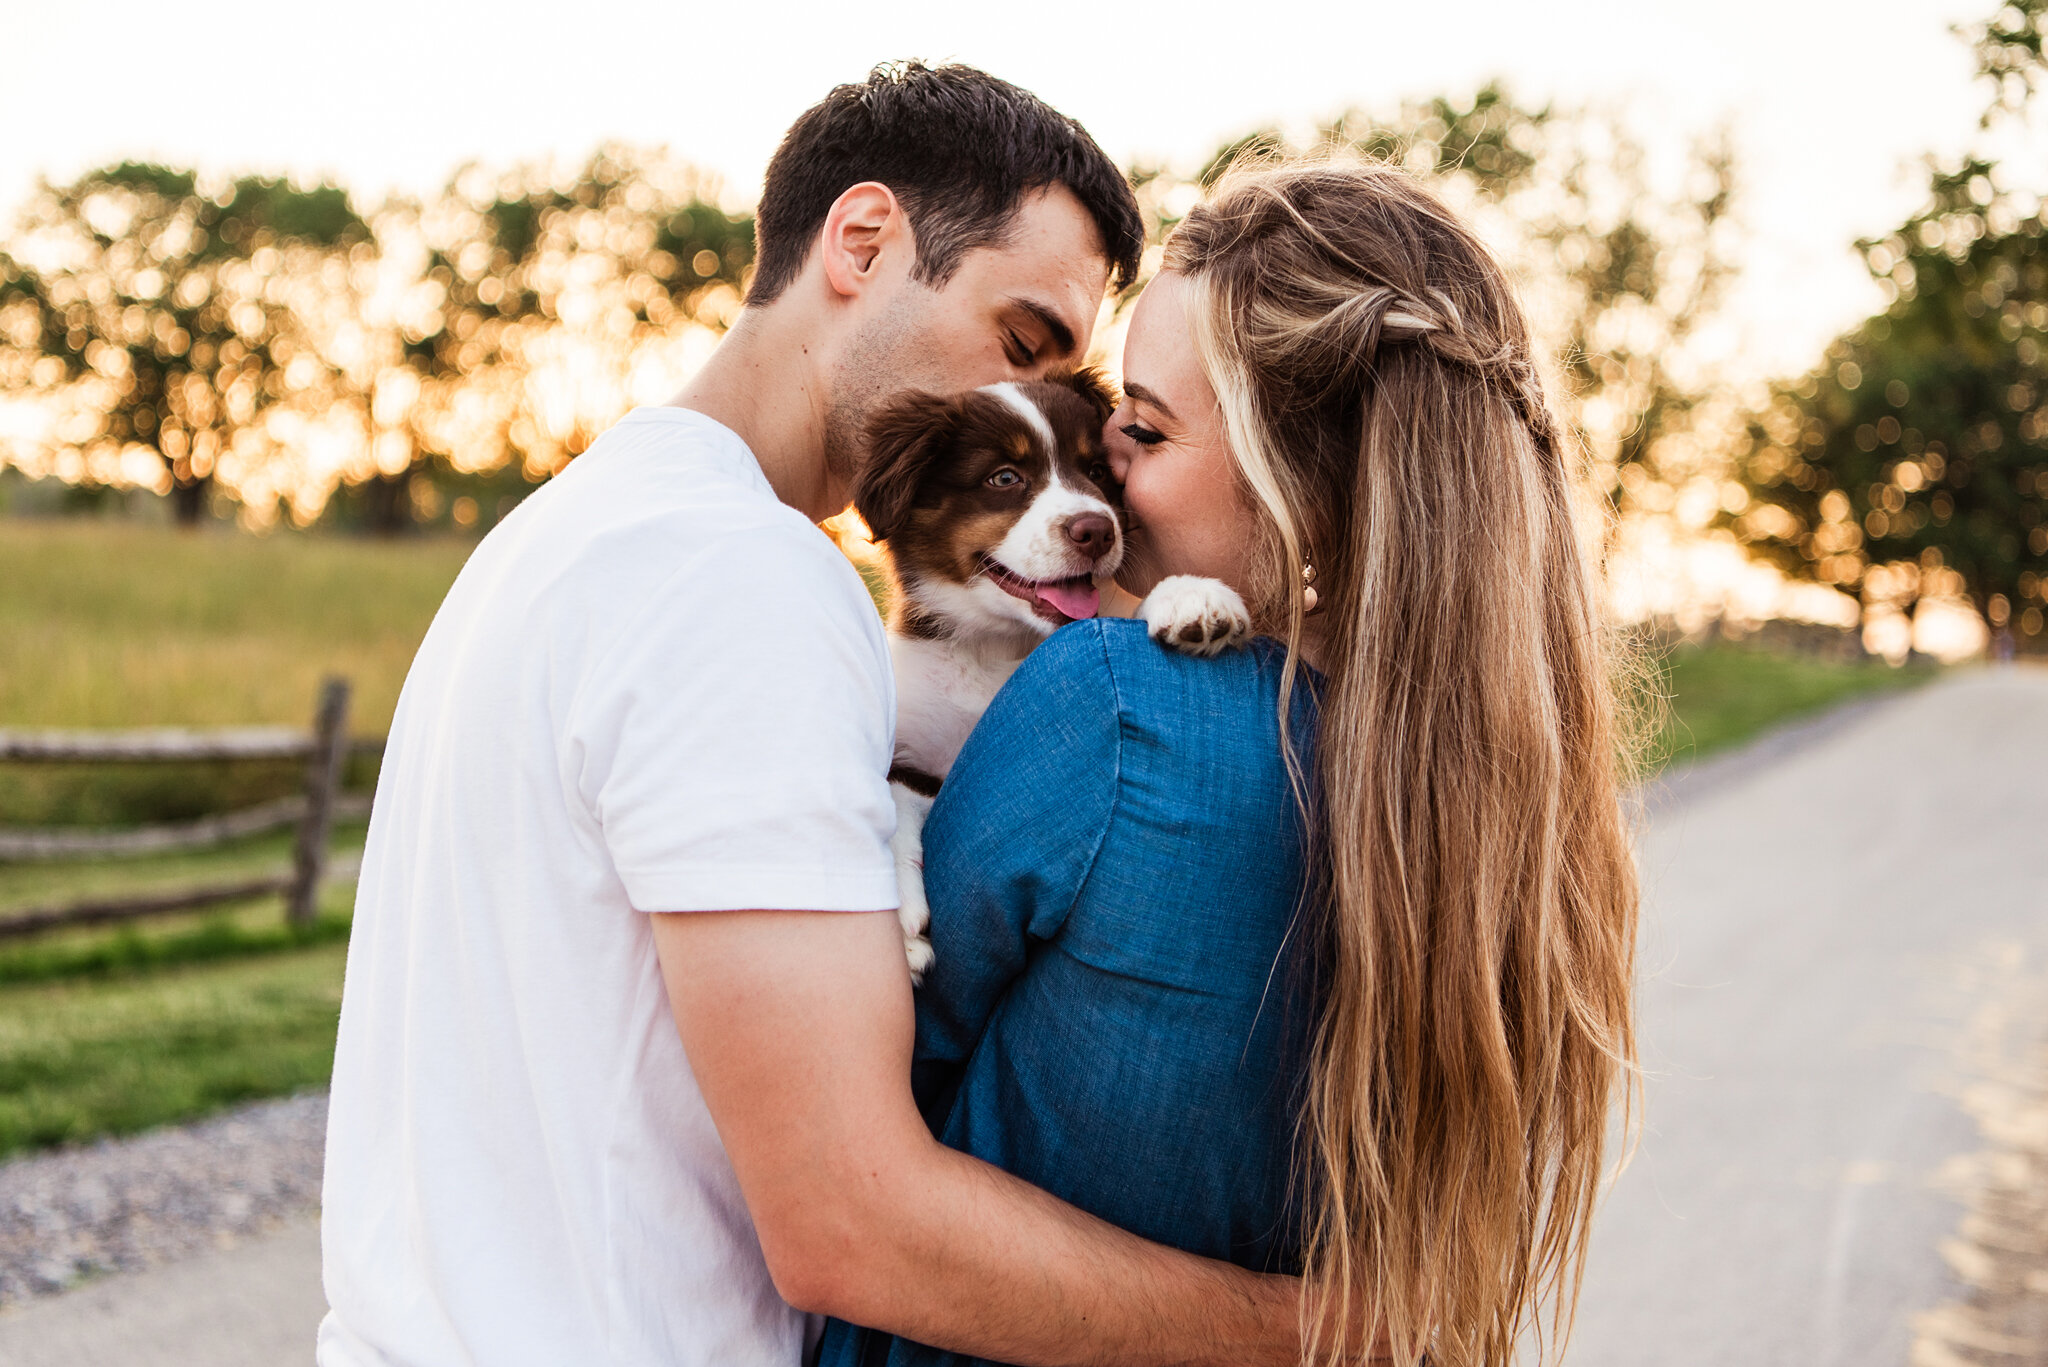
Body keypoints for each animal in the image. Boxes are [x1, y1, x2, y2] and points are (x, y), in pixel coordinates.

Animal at [847, 368, 1245, 979]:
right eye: (1004, 478)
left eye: (1097, 471)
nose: (1097, 531)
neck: (1002, 647)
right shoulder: (912, 745)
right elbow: (891, 794)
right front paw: (903, 927)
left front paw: (1189, 596)